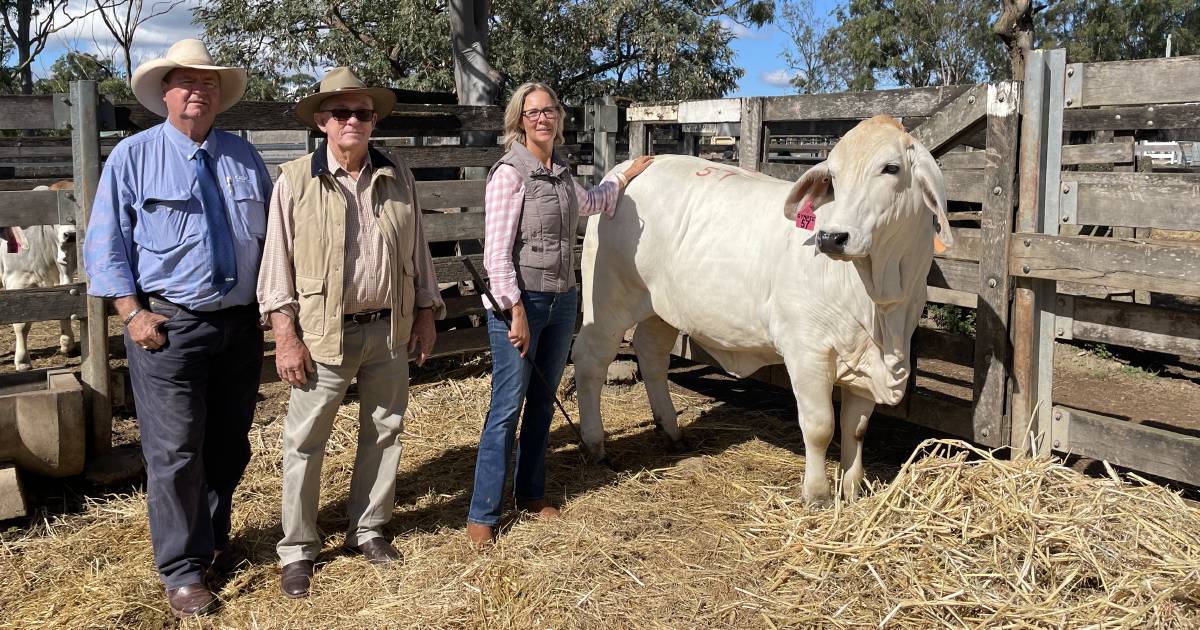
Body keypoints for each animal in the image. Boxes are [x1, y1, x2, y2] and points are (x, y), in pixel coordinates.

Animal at [0, 178, 78, 372]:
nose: (70, 235)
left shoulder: (65, 277)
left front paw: (67, 343)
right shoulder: (15, 282)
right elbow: (21, 323)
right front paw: (22, 361)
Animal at [571, 115, 955, 504]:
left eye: (891, 168)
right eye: (833, 176)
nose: (831, 237)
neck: (883, 305)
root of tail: (625, 169)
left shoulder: (866, 364)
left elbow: (856, 429)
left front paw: (852, 490)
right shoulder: (807, 353)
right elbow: (820, 426)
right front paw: (817, 494)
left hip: (660, 307)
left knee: (652, 354)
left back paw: (672, 431)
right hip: (608, 299)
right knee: (590, 359)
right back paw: (596, 444)